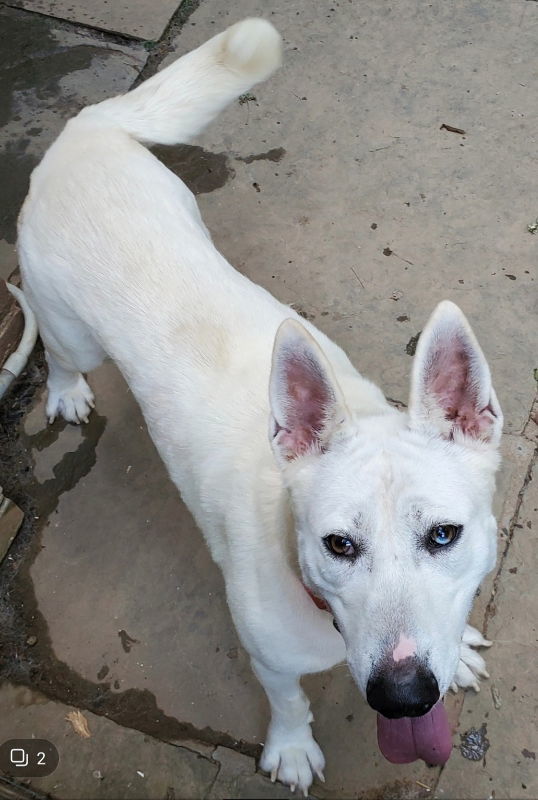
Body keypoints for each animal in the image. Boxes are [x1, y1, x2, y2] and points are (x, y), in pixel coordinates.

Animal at [17, 18, 502, 792]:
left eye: (445, 535)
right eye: (339, 545)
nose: (403, 697)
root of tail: (85, 130)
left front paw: (455, 658)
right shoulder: (269, 656)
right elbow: (288, 702)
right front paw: (293, 748)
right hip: (70, 328)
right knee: (61, 352)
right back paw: (64, 391)